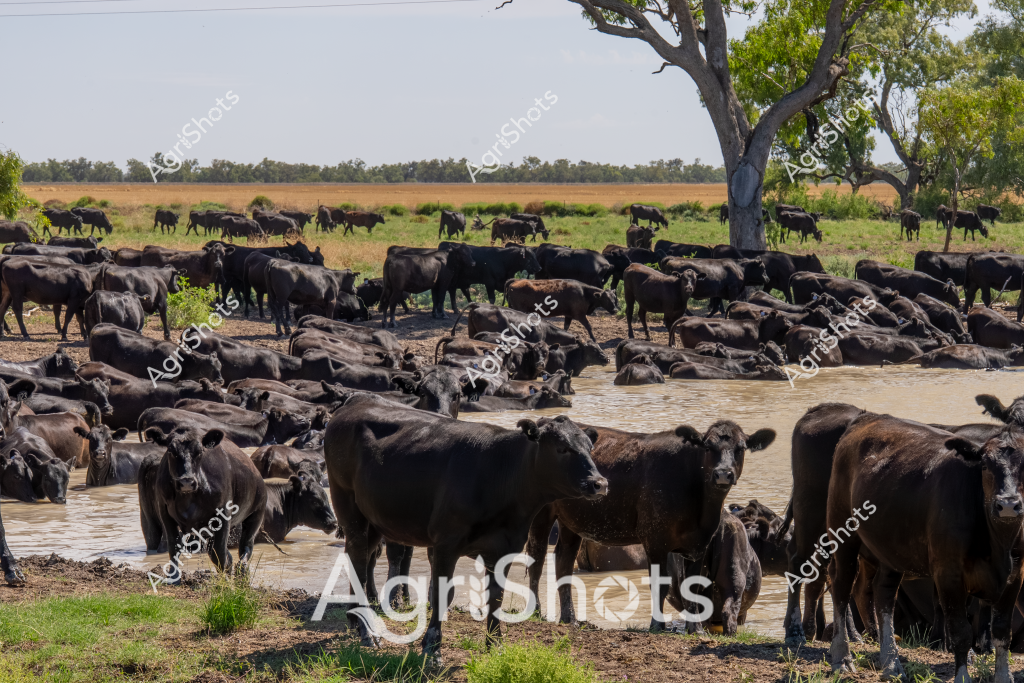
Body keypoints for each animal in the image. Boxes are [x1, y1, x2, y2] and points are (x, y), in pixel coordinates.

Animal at [323, 395, 607, 653]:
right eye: (562, 448)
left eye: (589, 447)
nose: (600, 483)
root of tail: (358, 399)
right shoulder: (445, 544)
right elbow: (441, 594)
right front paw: (432, 648)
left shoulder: (505, 548)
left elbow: (496, 598)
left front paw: (495, 646)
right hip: (348, 508)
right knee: (359, 564)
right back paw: (366, 633)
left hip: (372, 521)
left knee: (357, 559)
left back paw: (355, 620)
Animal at [525, 420, 774, 629]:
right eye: (707, 447)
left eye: (741, 448)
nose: (723, 474)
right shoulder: (655, 540)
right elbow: (659, 584)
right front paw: (657, 625)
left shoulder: (699, 544)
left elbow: (693, 587)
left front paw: (696, 629)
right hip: (542, 514)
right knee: (536, 559)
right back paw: (535, 611)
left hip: (572, 522)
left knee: (563, 563)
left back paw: (570, 618)